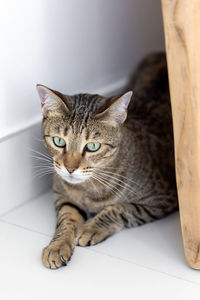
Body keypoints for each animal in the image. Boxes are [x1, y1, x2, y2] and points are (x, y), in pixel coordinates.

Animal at [36, 52, 177, 270]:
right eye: (59, 141)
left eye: (93, 146)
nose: (70, 168)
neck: (88, 190)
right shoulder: (63, 196)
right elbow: (66, 218)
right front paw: (58, 245)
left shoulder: (163, 199)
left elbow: (121, 209)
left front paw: (91, 227)